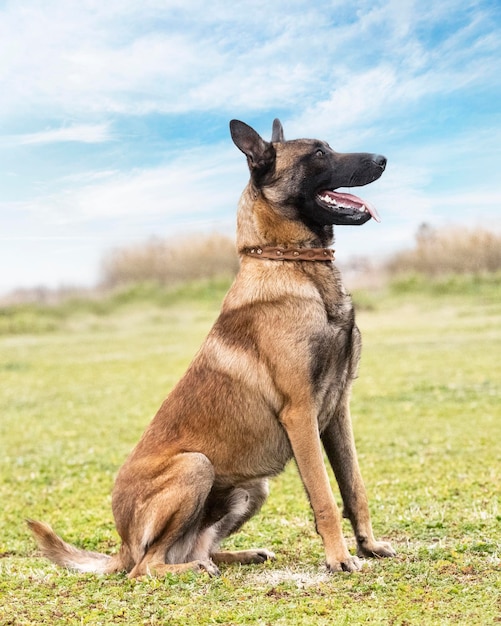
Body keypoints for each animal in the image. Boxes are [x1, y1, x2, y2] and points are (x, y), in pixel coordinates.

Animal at [28, 117, 394, 576]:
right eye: (318, 153)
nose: (383, 159)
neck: (293, 265)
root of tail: (122, 545)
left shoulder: (337, 411)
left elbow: (354, 487)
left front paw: (368, 546)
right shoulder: (301, 414)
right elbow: (326, 497)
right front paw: (339, 559)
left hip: (254, 488)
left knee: (195, 547)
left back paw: (236, 556)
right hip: (195, 465)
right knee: (146, 566)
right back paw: (190, 569)